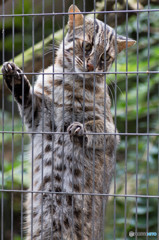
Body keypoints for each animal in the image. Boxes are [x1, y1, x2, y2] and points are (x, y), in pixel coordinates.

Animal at [1, 4, 135, 240]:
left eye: (105, 58)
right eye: (87, 46)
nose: (91, 66)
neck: (69, 81)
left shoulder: (111, 131)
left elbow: (96, 128)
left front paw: (80, 129)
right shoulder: (38, 118)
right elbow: (28, 98)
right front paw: (15, 78)